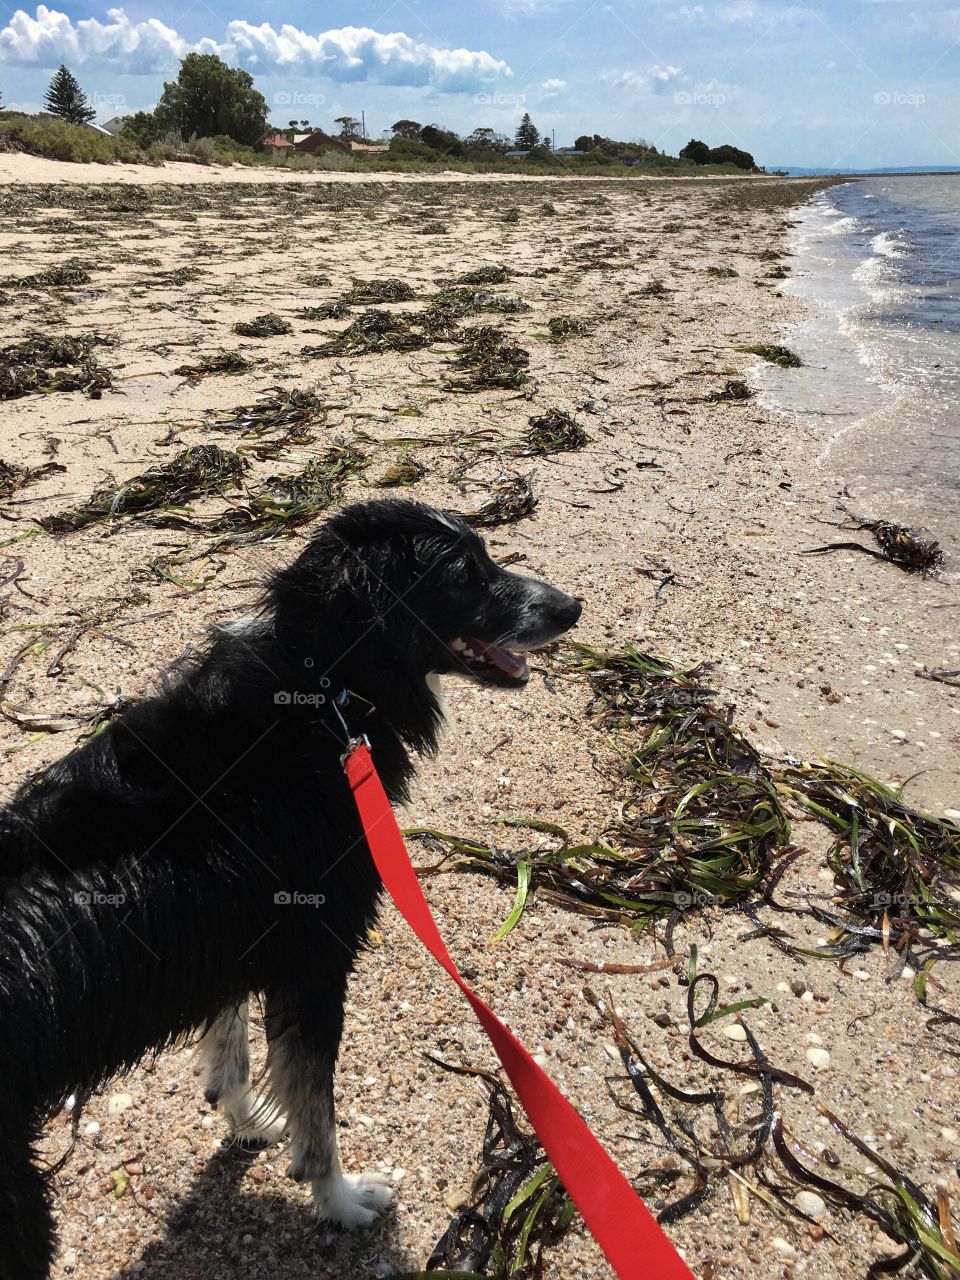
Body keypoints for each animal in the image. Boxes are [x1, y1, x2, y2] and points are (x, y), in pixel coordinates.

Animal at [0, 499, 578, 1280]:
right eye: (465, 573)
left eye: (485, 555)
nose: (572, 607)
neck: (323, 682)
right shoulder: (315, 953)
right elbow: (316, 1106)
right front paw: (339, 1200)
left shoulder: (242, 934)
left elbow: (232, 1041)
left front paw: (242, 1115)